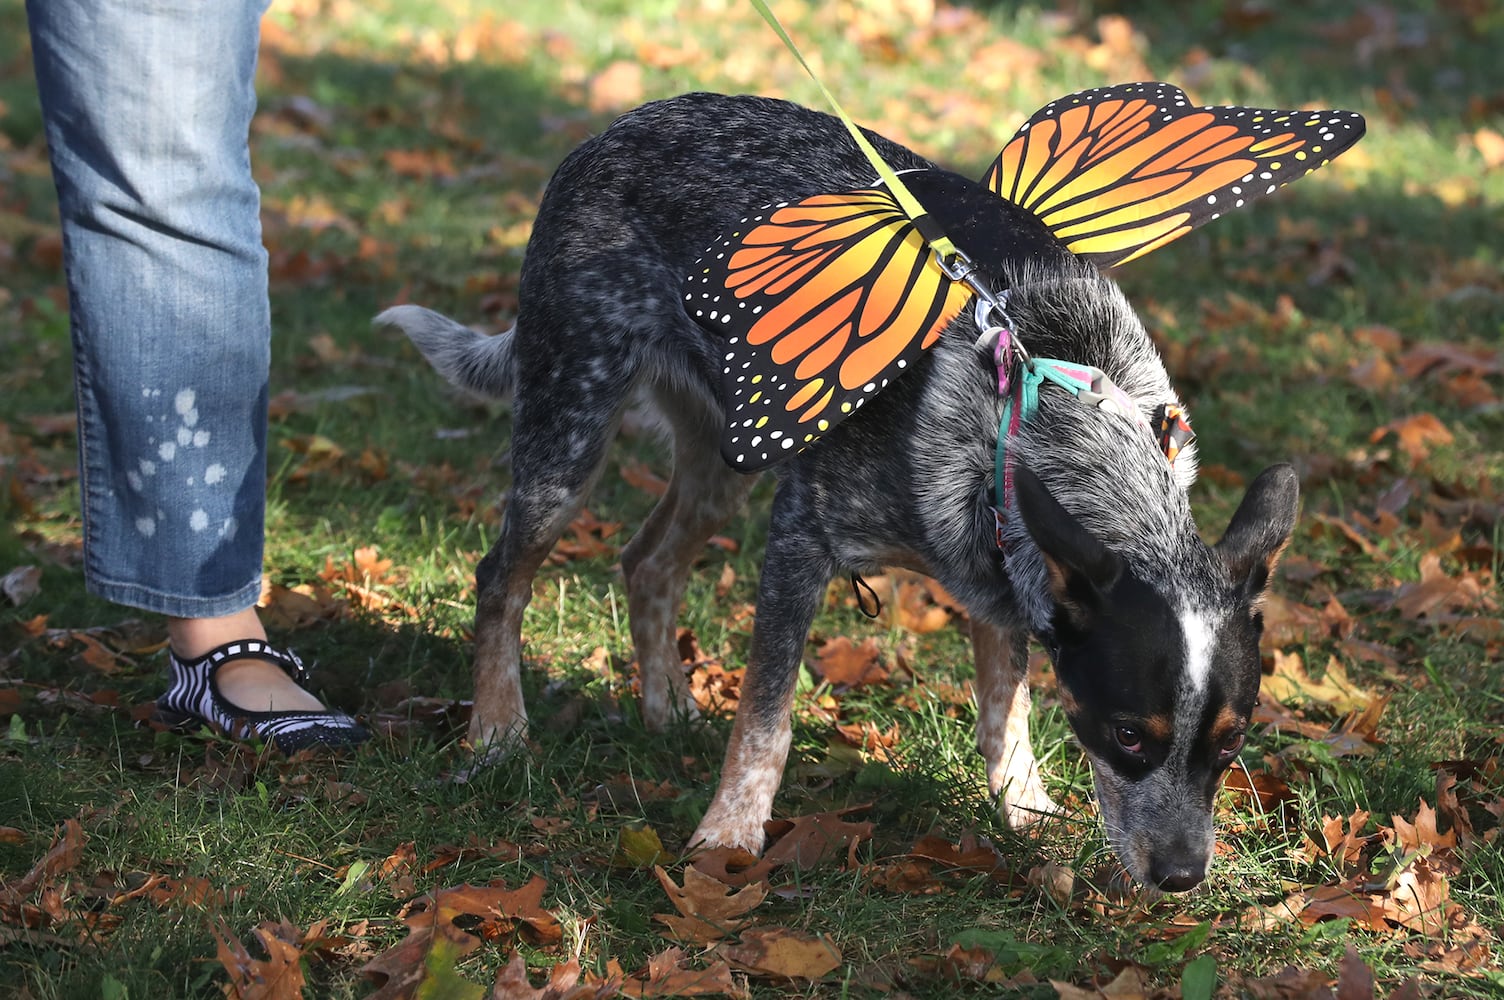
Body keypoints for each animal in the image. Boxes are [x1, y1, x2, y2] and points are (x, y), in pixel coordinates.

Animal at [379, 83, 1365, 884]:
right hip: (571, 423)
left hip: (724, 457)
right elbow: (768, 716)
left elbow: (1005, 714)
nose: (1183, 879)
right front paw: (728, 837)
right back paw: (497, 731)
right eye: (1129, 733)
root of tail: (613, 127)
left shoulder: (1005, 575)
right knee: (502, 576)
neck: (1045, 384)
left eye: (1232, 744)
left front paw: (1024, 807)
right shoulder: (803, 538)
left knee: (649, 561)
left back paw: (665, 712)